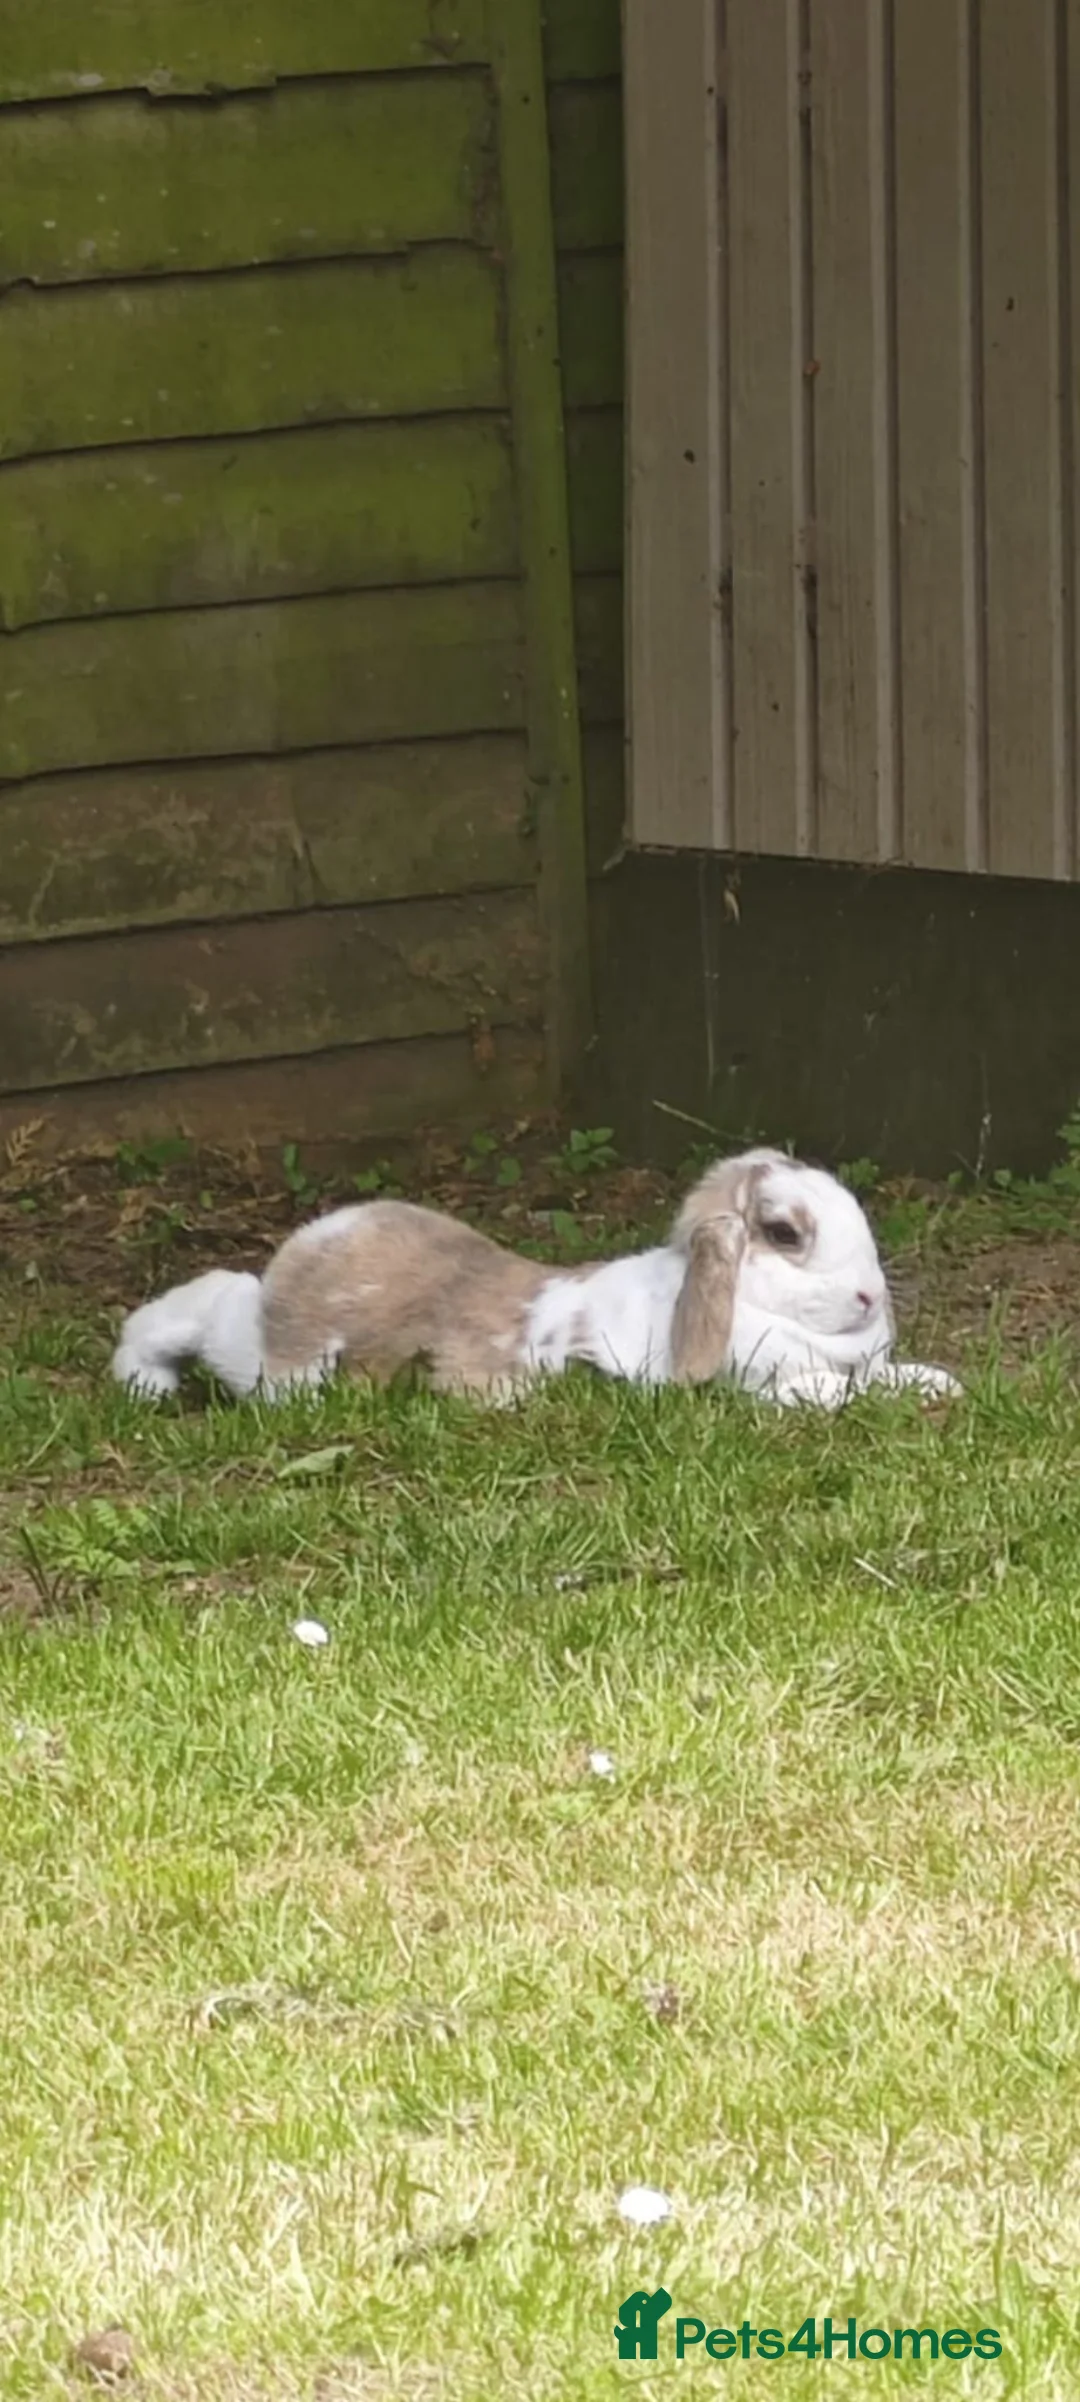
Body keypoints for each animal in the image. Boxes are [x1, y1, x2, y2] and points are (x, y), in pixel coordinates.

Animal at [111, 1148, 960, 1412]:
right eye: (785, 1233)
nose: (870, 1296)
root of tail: (324, 1238)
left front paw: (939, 1383)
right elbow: (824, 1391)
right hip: (280, 1366)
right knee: (211, 1303)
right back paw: (142, 1379)